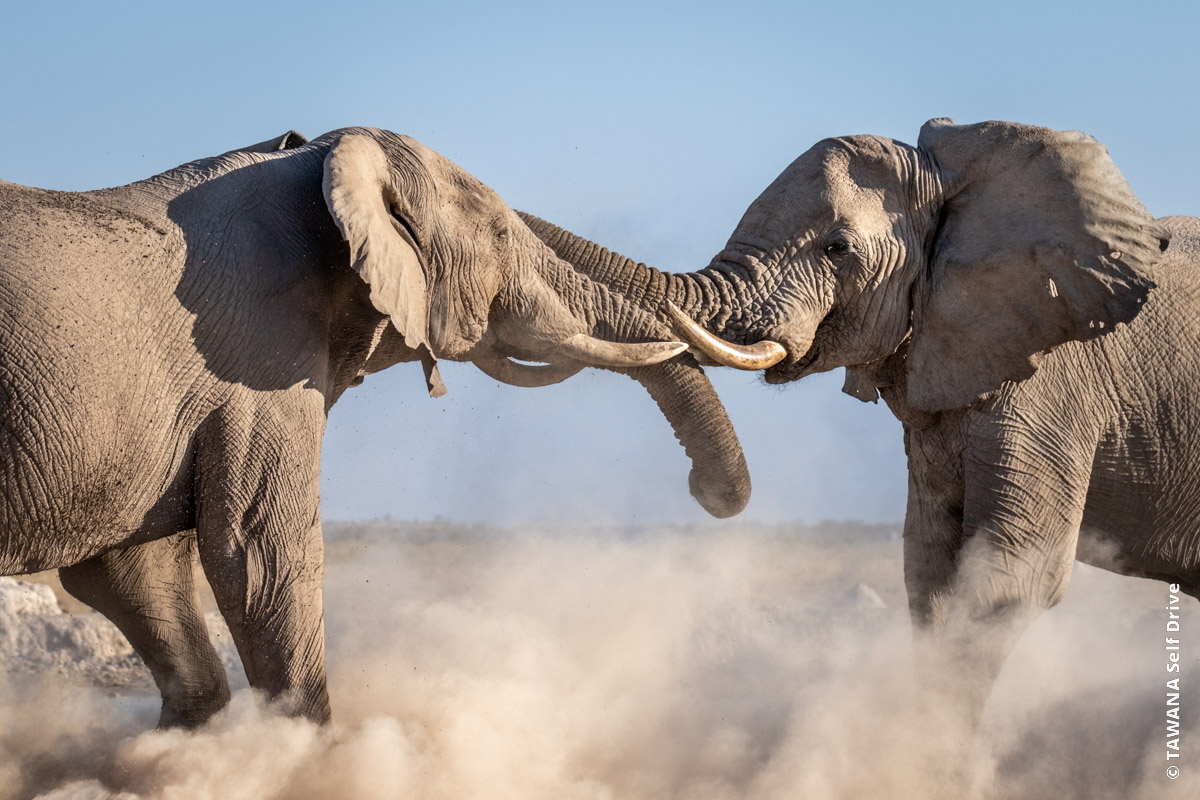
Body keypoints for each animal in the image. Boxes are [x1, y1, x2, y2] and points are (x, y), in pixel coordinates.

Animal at [0, 123, 748, 724]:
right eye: (501, 236)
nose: (703, 492)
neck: (320, 163)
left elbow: (132, 573)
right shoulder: (252, 357)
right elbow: (259, 557)